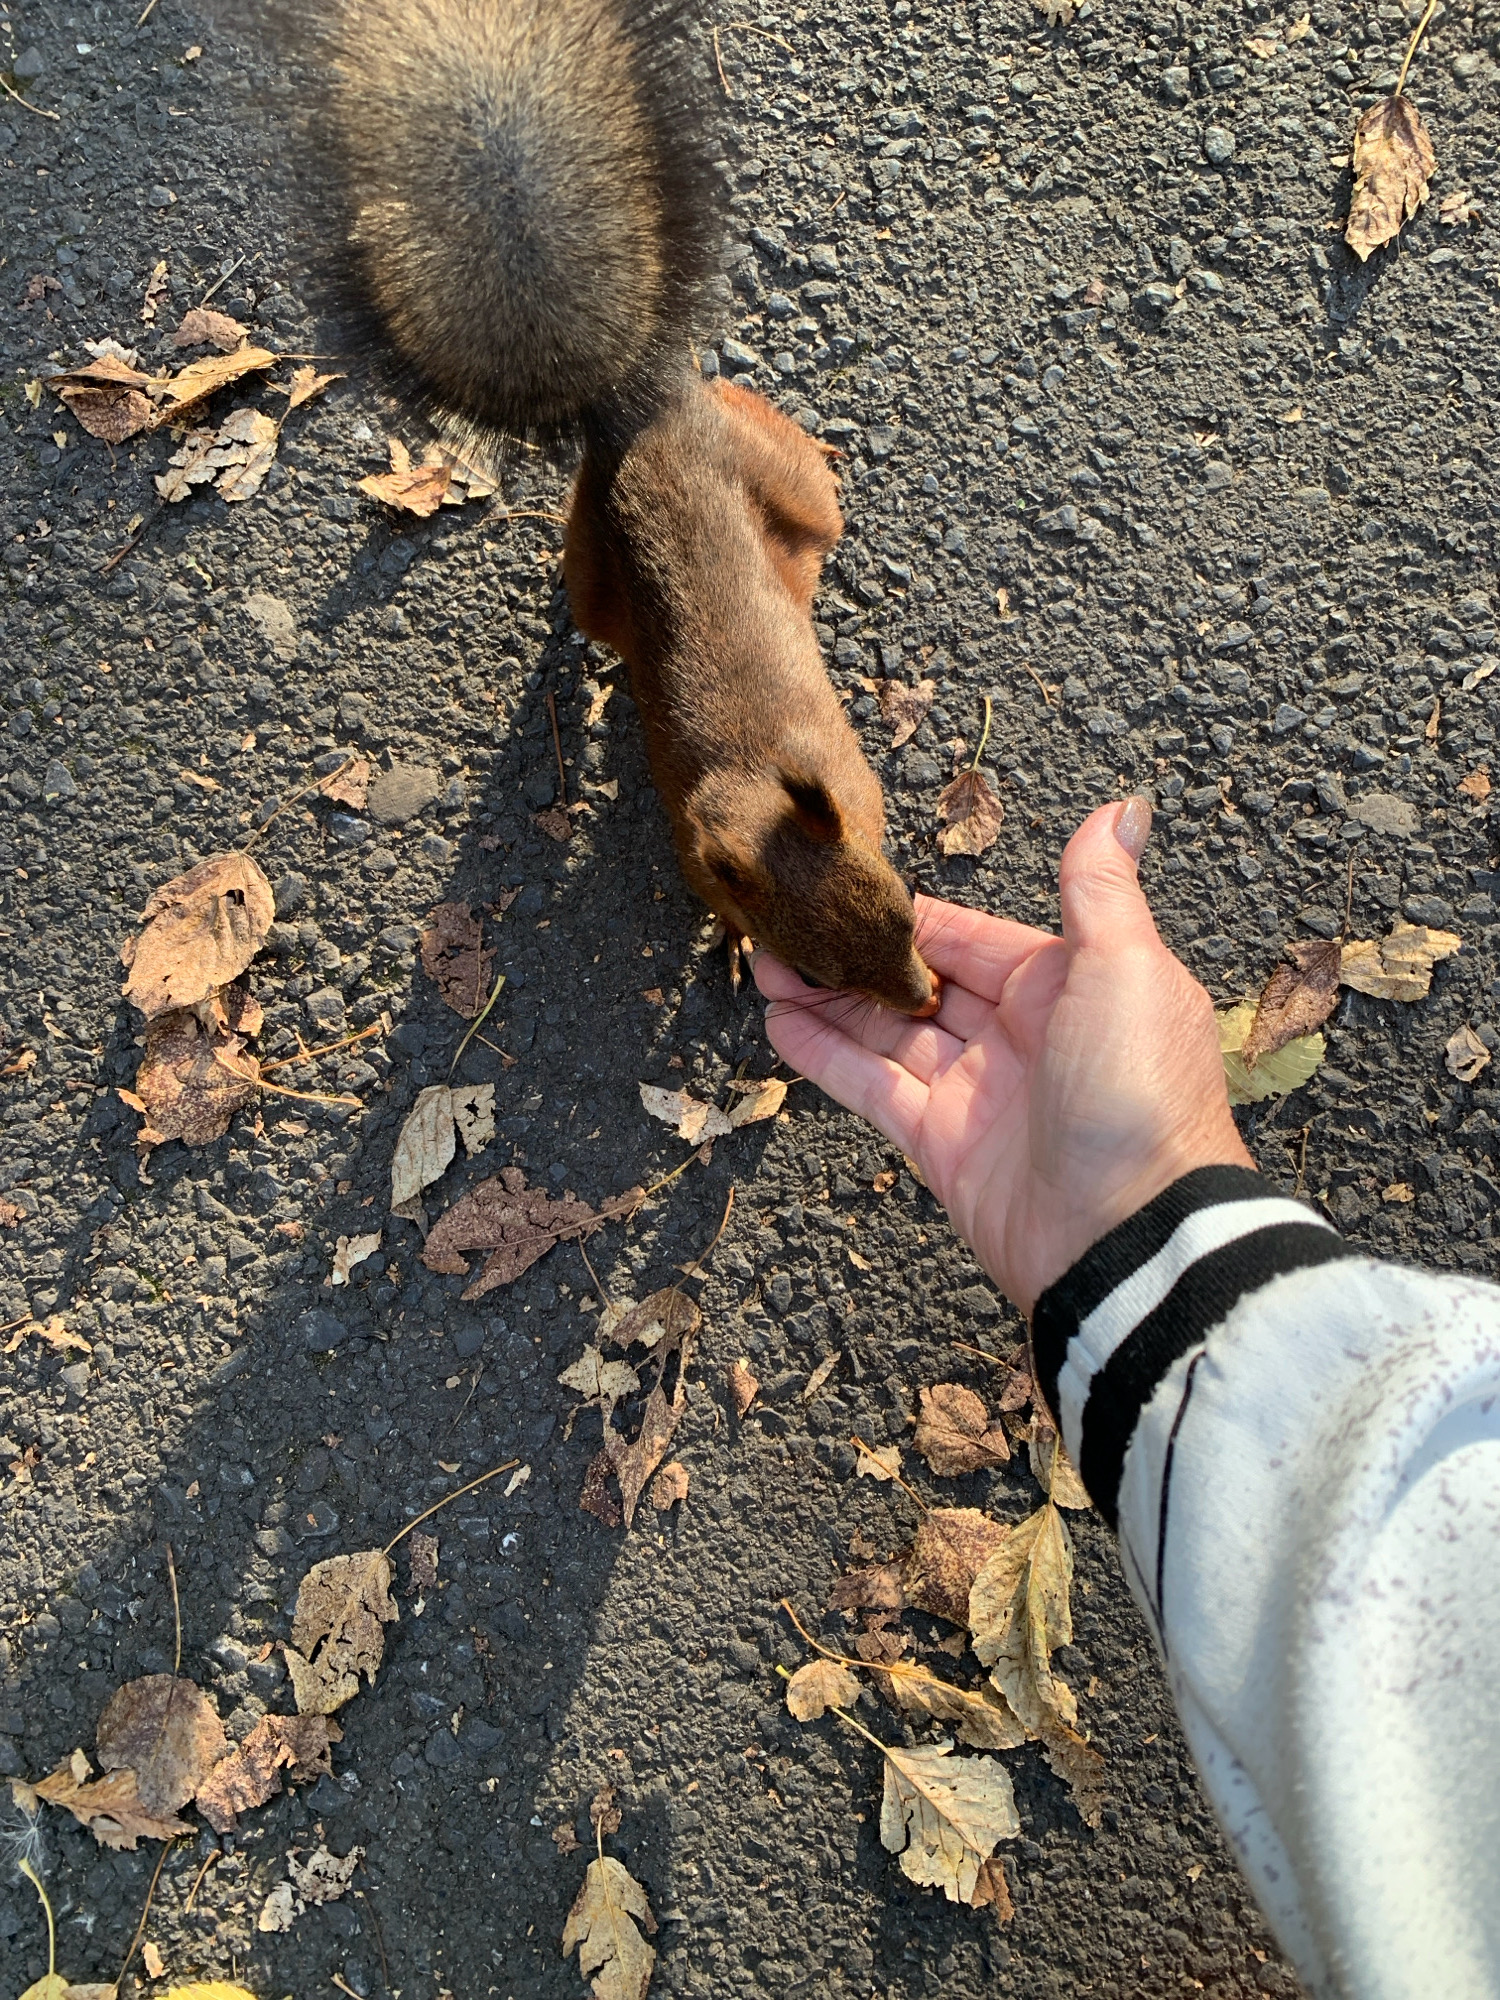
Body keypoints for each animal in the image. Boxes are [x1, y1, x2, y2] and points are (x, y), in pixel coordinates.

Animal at [307, 0, 940, 1016]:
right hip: (595, 567)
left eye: (908, 906)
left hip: (787, 492)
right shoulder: (696, 849)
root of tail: (639, 409)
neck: (764, 789)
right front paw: (730, 942)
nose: (927, 1000)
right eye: (815, 972)